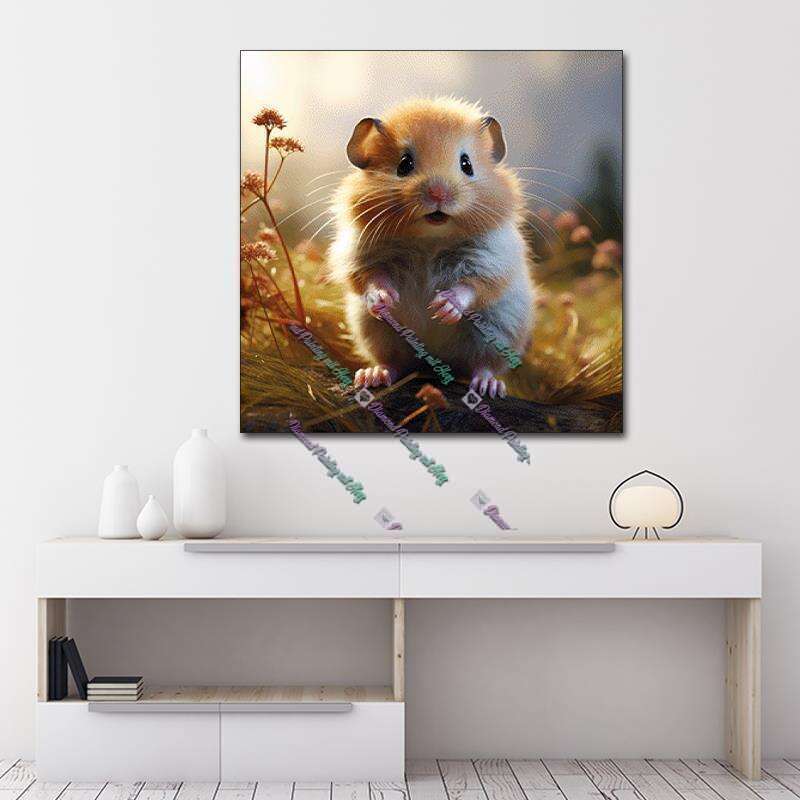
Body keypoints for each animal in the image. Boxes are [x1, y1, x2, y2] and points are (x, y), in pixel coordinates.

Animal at [328, 97, 534, 398]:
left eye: (466, 164)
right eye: (404, 164)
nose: (439, 193)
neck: (430, 239)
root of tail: (436, 363)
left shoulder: (492, 258)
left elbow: (472, 286)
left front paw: (441, 308)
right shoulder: (360, 255)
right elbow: (371, 279)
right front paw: (384, 300)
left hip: (498, 331)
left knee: (483, 365)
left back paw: (488, 386)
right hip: (377, 333)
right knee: (395, 363)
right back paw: (372, 375)